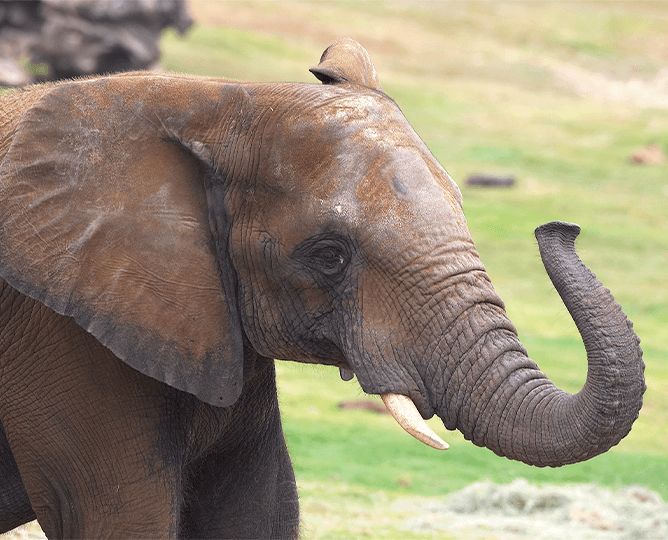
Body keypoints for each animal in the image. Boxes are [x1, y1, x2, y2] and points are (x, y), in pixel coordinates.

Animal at [1, 39, 648, 540]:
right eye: (329, 256)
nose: (559, 226)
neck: (210, 100)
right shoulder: (64, 330)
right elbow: (116, 514)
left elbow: (255, 510)